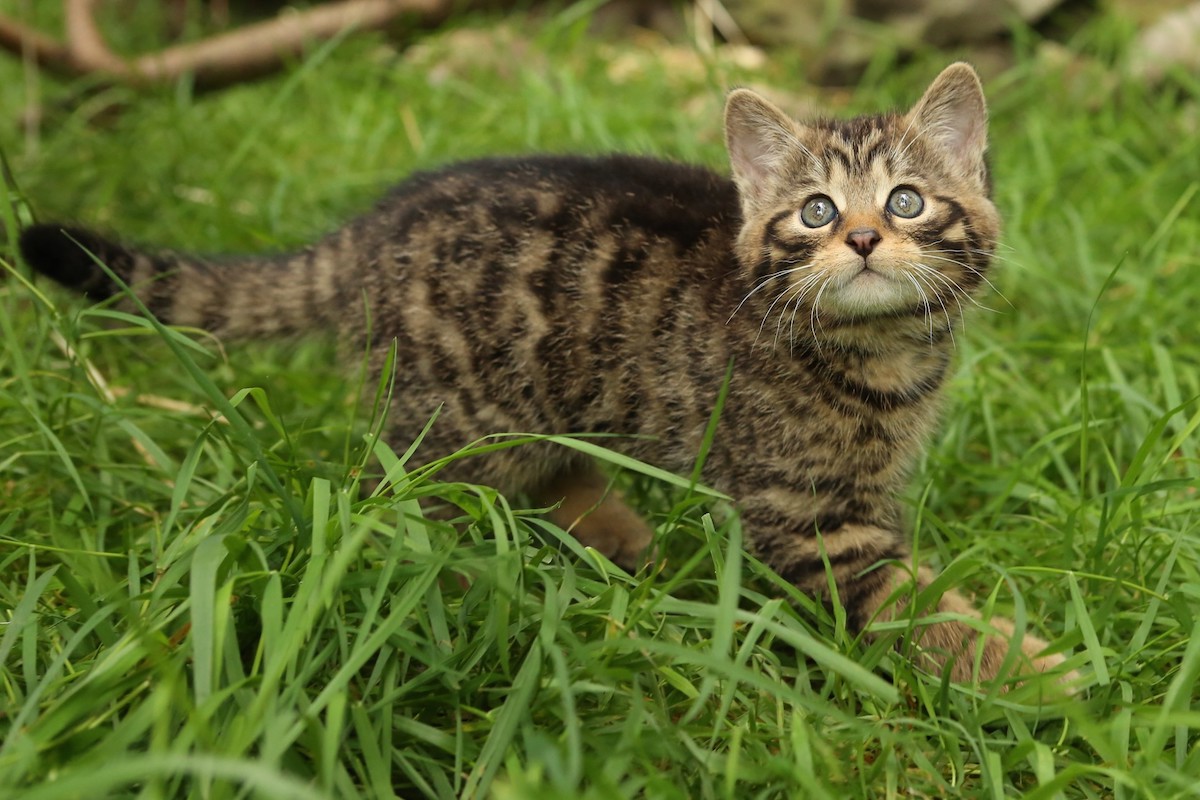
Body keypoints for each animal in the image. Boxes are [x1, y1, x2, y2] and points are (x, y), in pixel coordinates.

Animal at [18, 65, 1070, 686]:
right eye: (814, 210)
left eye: (906, 200)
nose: (859, 239)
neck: (878, 358)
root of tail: (370, 231)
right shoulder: (811, 524)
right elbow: (916, 609)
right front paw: (1041, 676)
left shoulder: (866, 494)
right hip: (450, 423)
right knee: (400, 503)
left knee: (551, 472)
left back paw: (618, 539)